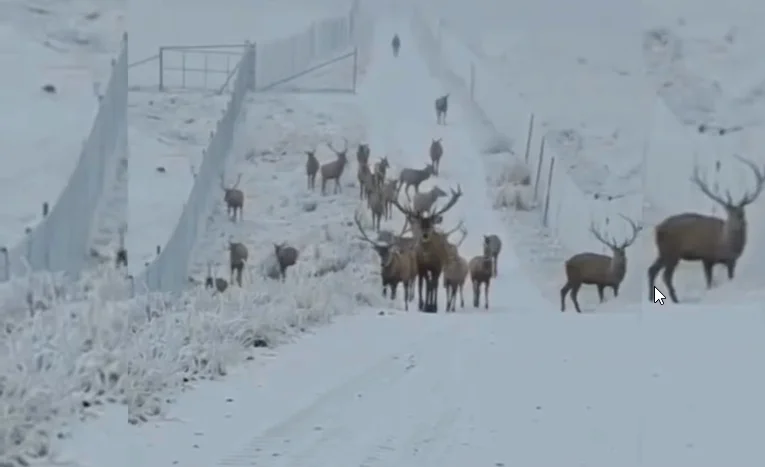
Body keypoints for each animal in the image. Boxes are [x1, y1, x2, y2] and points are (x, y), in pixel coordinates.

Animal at [644, 155, 764, 306]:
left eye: (742, 213)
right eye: (728, 213)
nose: (737, 225)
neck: (726, 246)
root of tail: (658, 229)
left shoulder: (732, 261)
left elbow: (730, 278)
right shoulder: (707, 258)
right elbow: (709, 282)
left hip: (663, 252)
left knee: (652, 270)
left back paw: (650, 298)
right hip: (672, 251)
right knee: (666, 275)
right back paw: (675, 300)